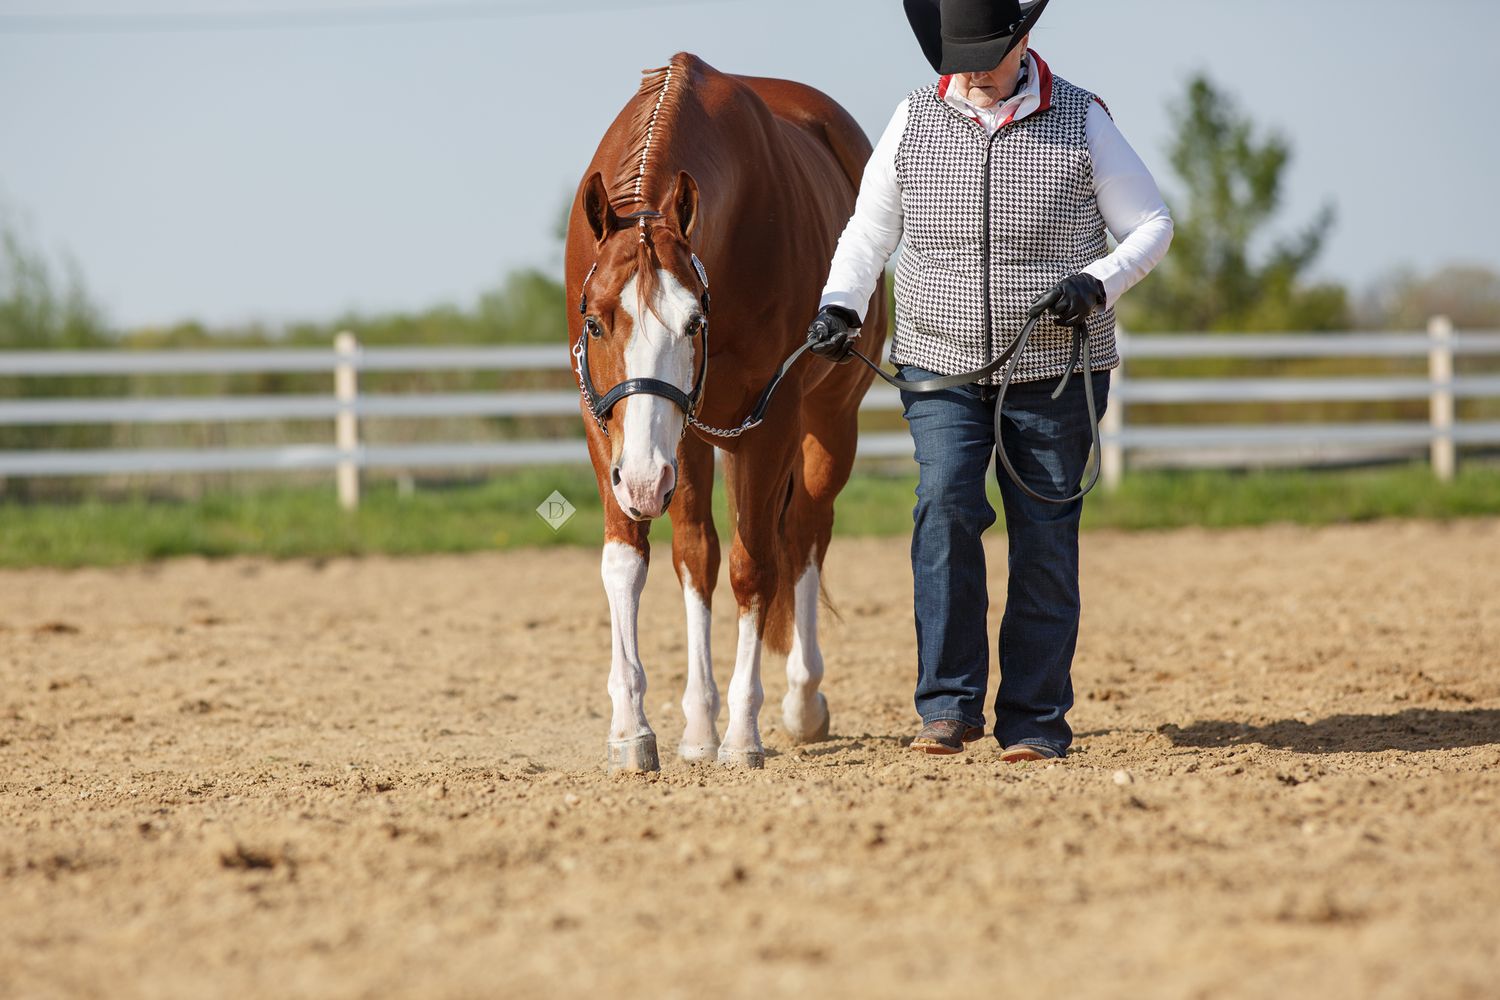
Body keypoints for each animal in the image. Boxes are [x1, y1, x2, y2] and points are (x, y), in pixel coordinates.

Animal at [564, 52, 888, 772]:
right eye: (595, 323)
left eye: (693, 323)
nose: (643, 481)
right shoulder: (616, 431)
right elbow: (642, 560)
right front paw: (641, 730)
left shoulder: (768, 426)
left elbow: (752, 567)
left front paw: (740, 734)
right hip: (687, 442)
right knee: (703, 553)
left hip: (826, 426)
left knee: (803, 536)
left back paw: (802, 701)